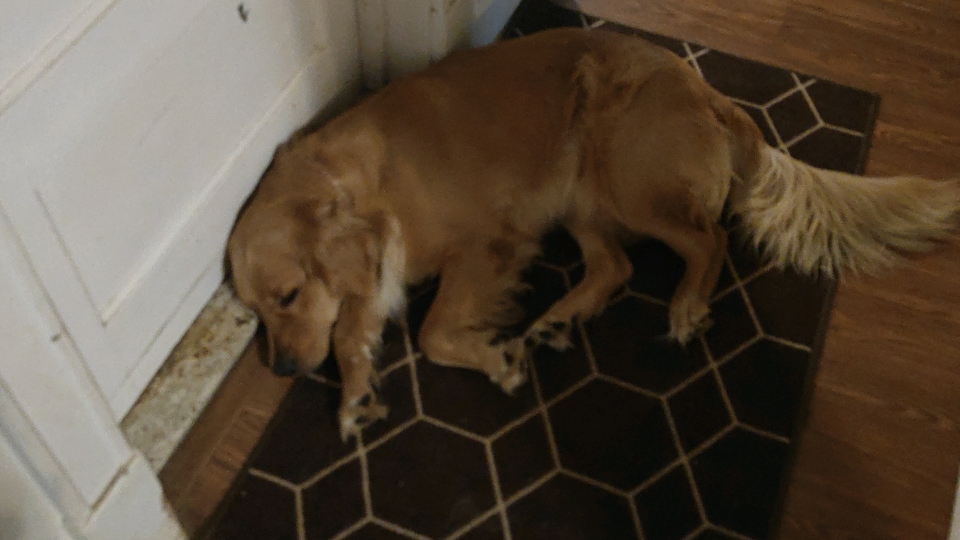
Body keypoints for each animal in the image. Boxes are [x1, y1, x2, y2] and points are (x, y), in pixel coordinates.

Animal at [227, 26, 960, 438]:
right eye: (255, 312)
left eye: (287, 296)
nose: (282, 369)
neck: (359, 183)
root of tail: (712, 97)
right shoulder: (375, 273)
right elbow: (349, 332)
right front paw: (354, 396)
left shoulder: (487, 242)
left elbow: (432, 333)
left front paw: (494, 359)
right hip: (581, 198)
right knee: (616, 266)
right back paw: (556, 320)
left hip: (627, 177)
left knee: (708, 240)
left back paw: (686, 307)